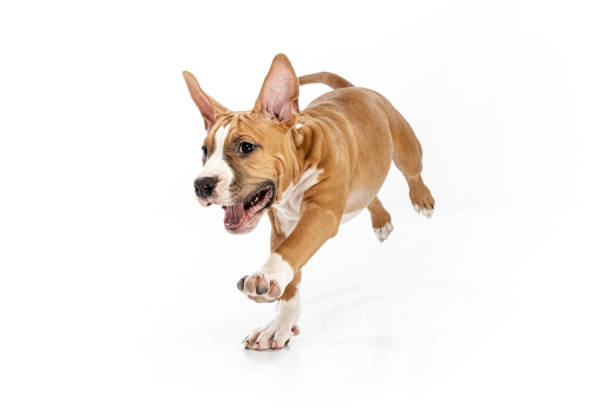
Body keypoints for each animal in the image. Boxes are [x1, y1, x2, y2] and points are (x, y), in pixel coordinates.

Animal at [182, 52, 436, 350]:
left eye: (246, 146)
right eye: (204, 150)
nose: (202, 184)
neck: (299, 157)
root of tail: (353, 88)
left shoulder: (321, 213)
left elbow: (294, 248)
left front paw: (265, 277)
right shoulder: (282, 228)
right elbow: (291, 274)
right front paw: (278, 325)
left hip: (405, 145)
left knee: (412, 171)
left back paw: (422, 199)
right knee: (368, 193)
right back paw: (381, 221)